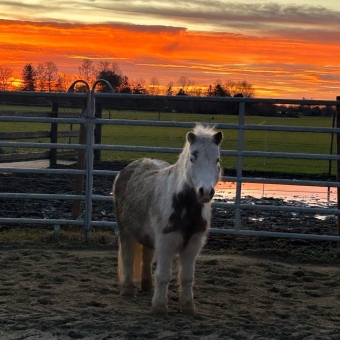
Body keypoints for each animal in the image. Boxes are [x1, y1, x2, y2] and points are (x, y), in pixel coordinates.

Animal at [112, 125, 223, 316]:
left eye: (217, 160)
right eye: (193, 157)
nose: (206, 192)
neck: (184, 206)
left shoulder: (193, 245)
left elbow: (187, 278)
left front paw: (187, 307)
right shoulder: (166, 243)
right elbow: (163, 276)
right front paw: (159, 307)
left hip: (148, 238)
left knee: (146, 258)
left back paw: (147, 287)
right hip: (126, 232)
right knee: (128, 258)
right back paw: (127, 290)